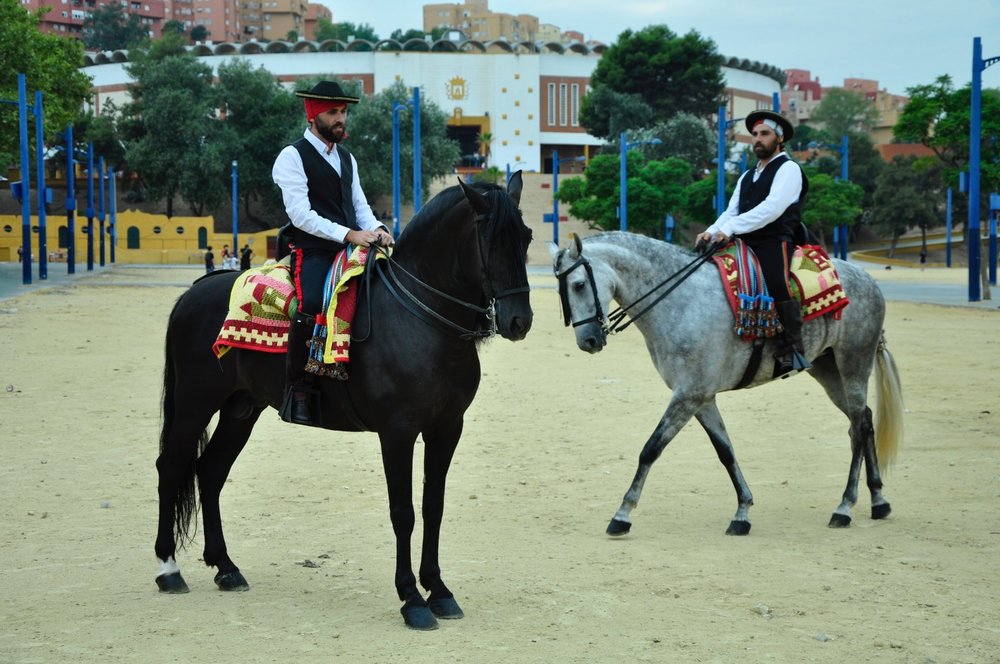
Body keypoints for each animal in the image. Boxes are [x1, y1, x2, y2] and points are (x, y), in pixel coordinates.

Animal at [154, 174, 532, 632]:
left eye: (526, 237)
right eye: (490, 239)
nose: (519, 321)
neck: (420, 319)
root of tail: (194, 292)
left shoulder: (446, 428)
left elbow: (434, 507)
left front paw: (439, 591)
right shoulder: (397, 432)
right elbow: (403, 511)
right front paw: (412, 599)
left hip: (241, 409)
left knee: (210, 471)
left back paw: (225, 567)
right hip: (194, 403)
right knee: (171, 467)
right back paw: (168, 569)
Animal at [552, 231, 904, 536]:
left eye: (579, 285)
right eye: (562, 292)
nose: (588, 341)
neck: (680, 302)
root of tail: (868, 280)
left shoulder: (688, 396)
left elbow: (651, 449)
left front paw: (622, 514)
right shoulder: (702, 398)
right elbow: (725, 451)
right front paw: (742, 511)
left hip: (854, 363)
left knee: (858, 424)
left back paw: (844, 507)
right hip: (828, 370)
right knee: (864, 421)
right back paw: (879, 500)